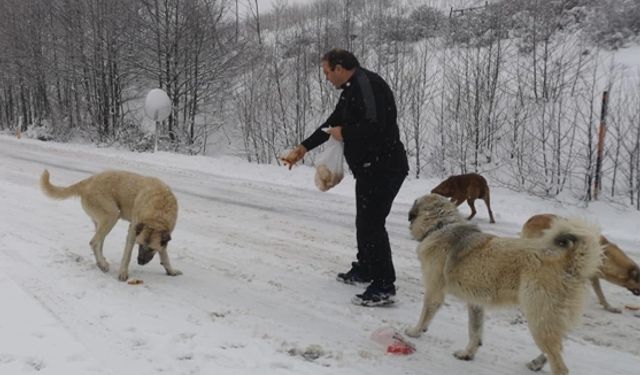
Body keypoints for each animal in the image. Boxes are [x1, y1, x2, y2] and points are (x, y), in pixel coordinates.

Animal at [40, 170, 181, 282]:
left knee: (99, 243)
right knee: (94, 242)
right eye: (140, 245)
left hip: (102, 221)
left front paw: (171, 271)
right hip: (112, 215)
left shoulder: (163, 237)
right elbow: (127, 255)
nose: (140, 262)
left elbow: (165, 255)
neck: (158, 213)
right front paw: (123, 272)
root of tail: (88, 181)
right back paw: (102, 264)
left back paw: (101, 262)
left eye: (151, 249)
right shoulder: (132, 232)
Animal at [408, 194, 604, 375]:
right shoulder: (476, 304)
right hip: (548, 321)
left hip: (538, 319)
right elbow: (475, 332)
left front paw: (414, 331)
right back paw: (536, 363)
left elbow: (425, 315)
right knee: (555, 349)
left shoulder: (434, 291)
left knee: (560, 366)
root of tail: (571, 262)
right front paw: (467, 354)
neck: (440, 226)